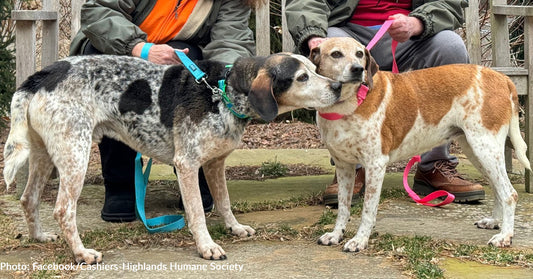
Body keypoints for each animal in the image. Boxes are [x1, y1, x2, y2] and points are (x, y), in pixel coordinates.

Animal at [2, 53, 338, 264]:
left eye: (315, 67)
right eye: (302, 77)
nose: (337, 86)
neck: (223, 91)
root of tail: (42, 75)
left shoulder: (214, 164)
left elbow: (224, 203)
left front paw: (234, 228)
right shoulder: (187, 165)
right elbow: (197, 213)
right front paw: (207, 247)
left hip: (44, 154)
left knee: (28, 198)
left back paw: (39, 236)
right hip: (75, 155)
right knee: (62, 210)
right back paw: (81, 254)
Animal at [310, 36, 528, 253]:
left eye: (359, 54)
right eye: (336, 54)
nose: (357, 69)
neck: (347, 104)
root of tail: (502, 78)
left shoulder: (375, 165)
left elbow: (368, 210)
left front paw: (360, 239)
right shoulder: (344, 167)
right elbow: (343, 207)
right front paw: (336, 234)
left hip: (486, 149)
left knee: (509, 194)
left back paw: (505, 236)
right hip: (477, 151)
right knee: (498, 190)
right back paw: (494, 222)